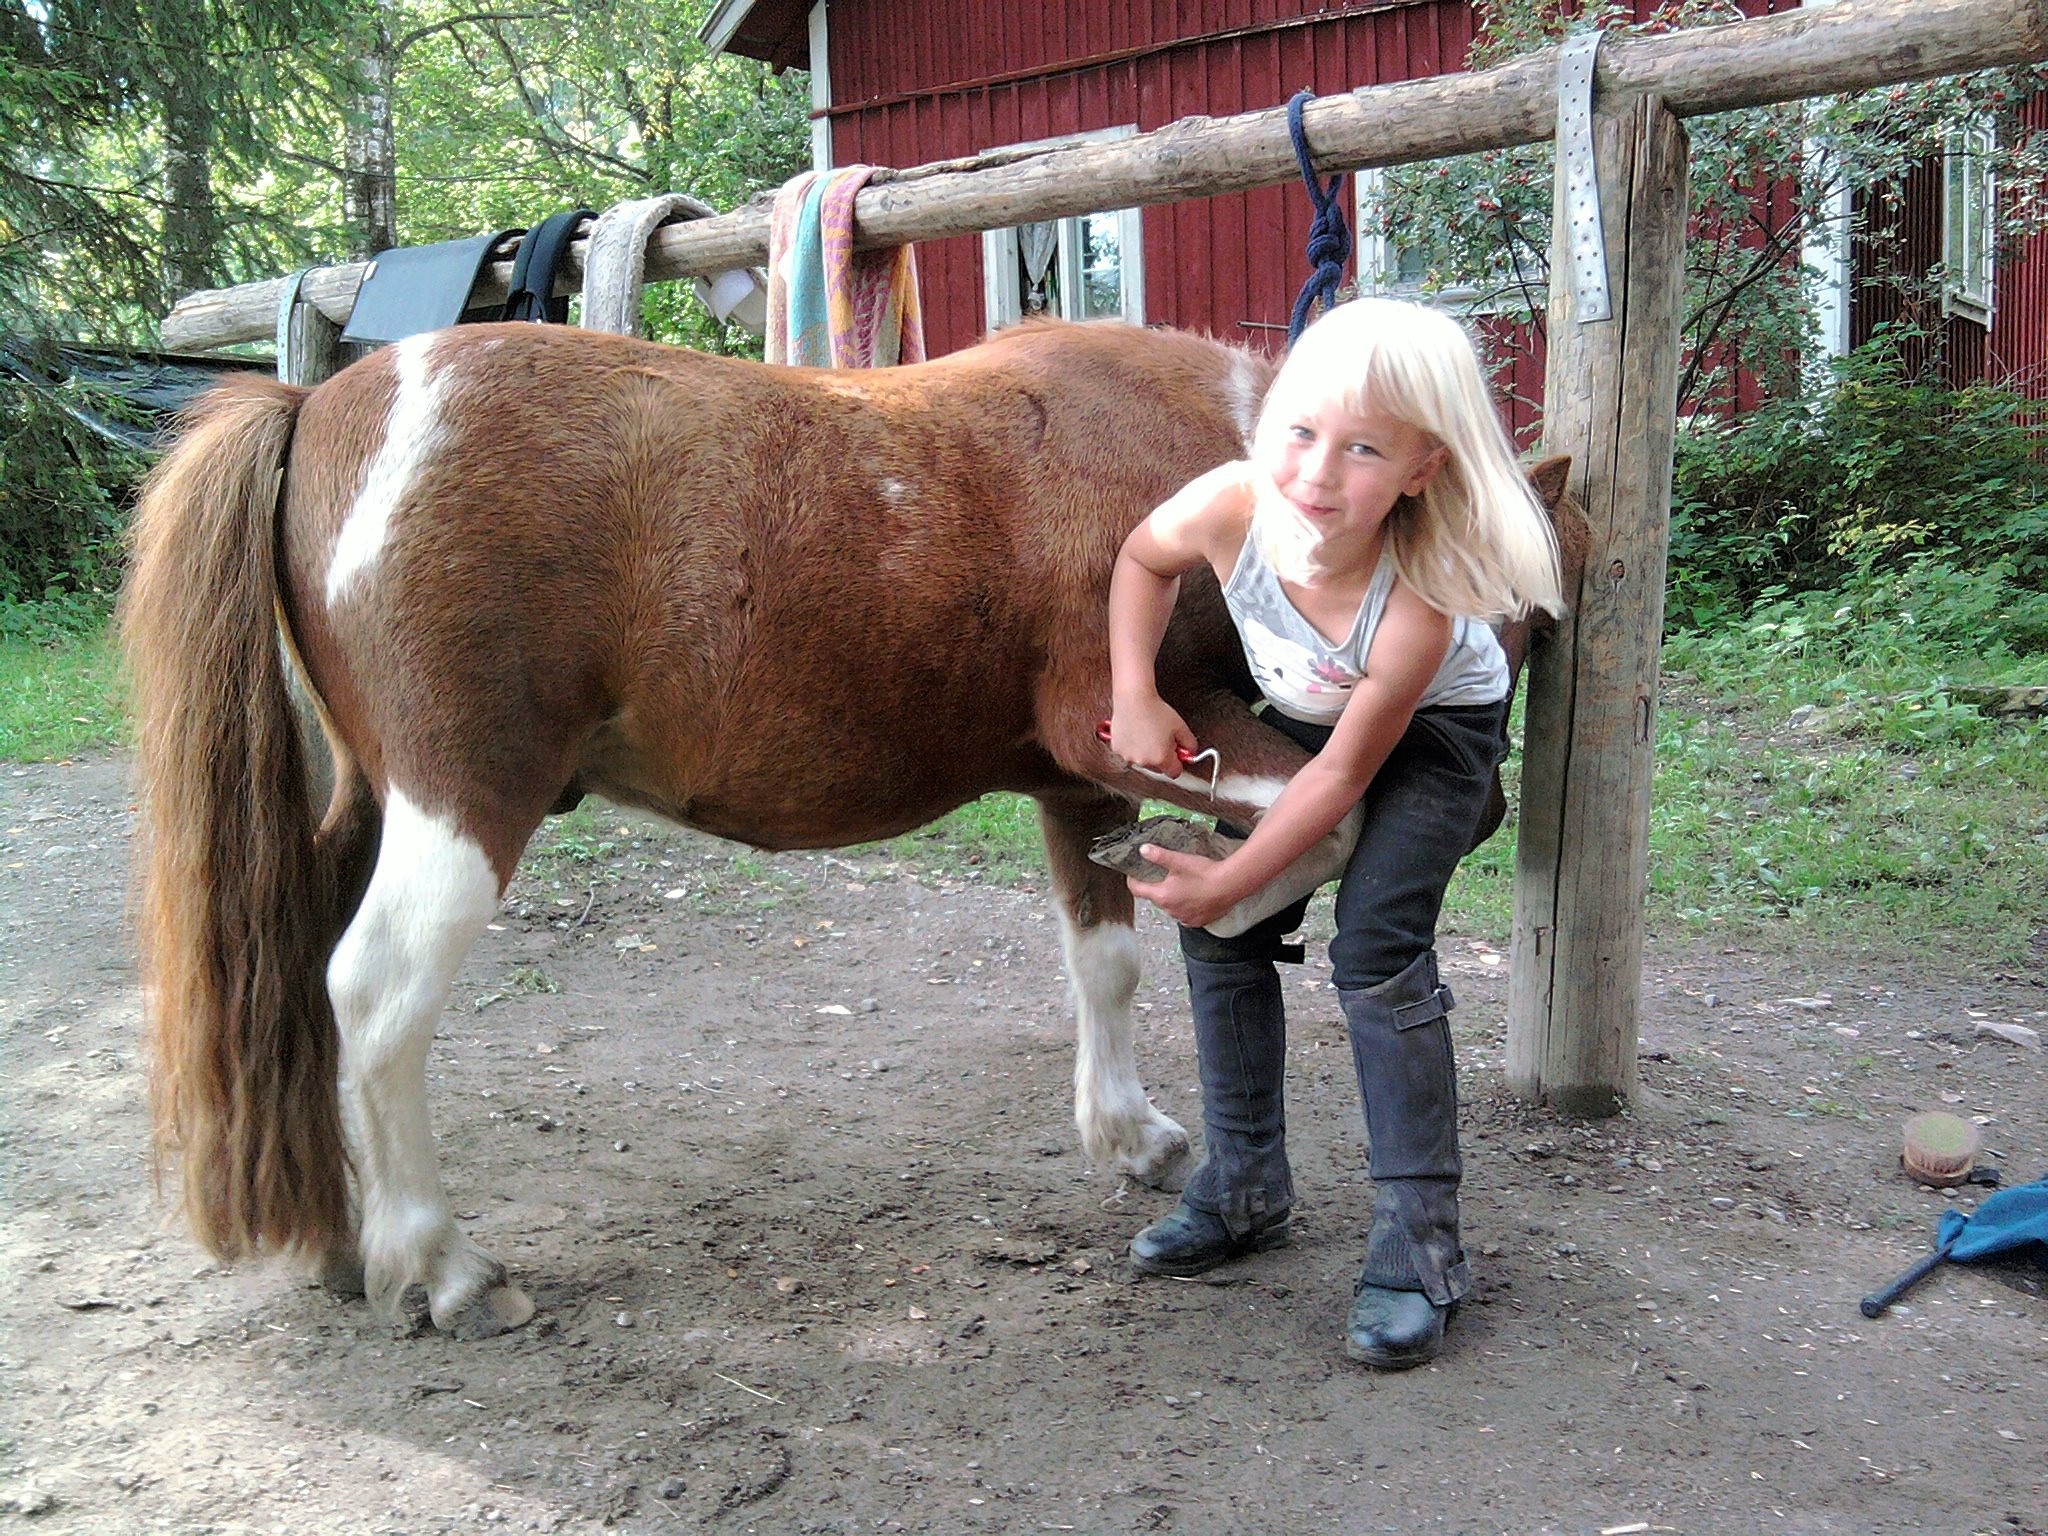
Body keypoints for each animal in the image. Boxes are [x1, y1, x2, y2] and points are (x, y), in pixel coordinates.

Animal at [119, 319, 1572, 1343]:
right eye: (1493, 622)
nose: (1489, 810)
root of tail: (324, 406)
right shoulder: (1129, 731)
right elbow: (1316, 823)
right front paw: (1231, 887)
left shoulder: (1075, 783)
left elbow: (1103, 958)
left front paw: (1131, 1131)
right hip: (459, 809)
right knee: (373, 996)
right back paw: (442, 1265)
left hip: (368, 809)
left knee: (297, 988)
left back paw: (342, 1240)